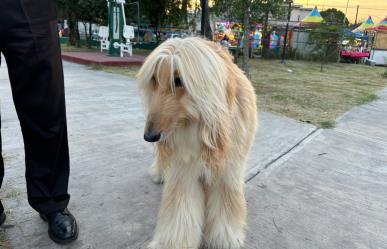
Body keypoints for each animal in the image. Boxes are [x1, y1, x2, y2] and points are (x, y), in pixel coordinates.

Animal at [138, 37, 260, 249]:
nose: (149, 136)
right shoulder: (183, 168)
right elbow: (180, 208)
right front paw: (172, 243)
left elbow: (226, 205)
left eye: (178, 81)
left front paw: (224, 239)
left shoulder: (228, 170)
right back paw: (159, 173)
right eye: (153, 79)